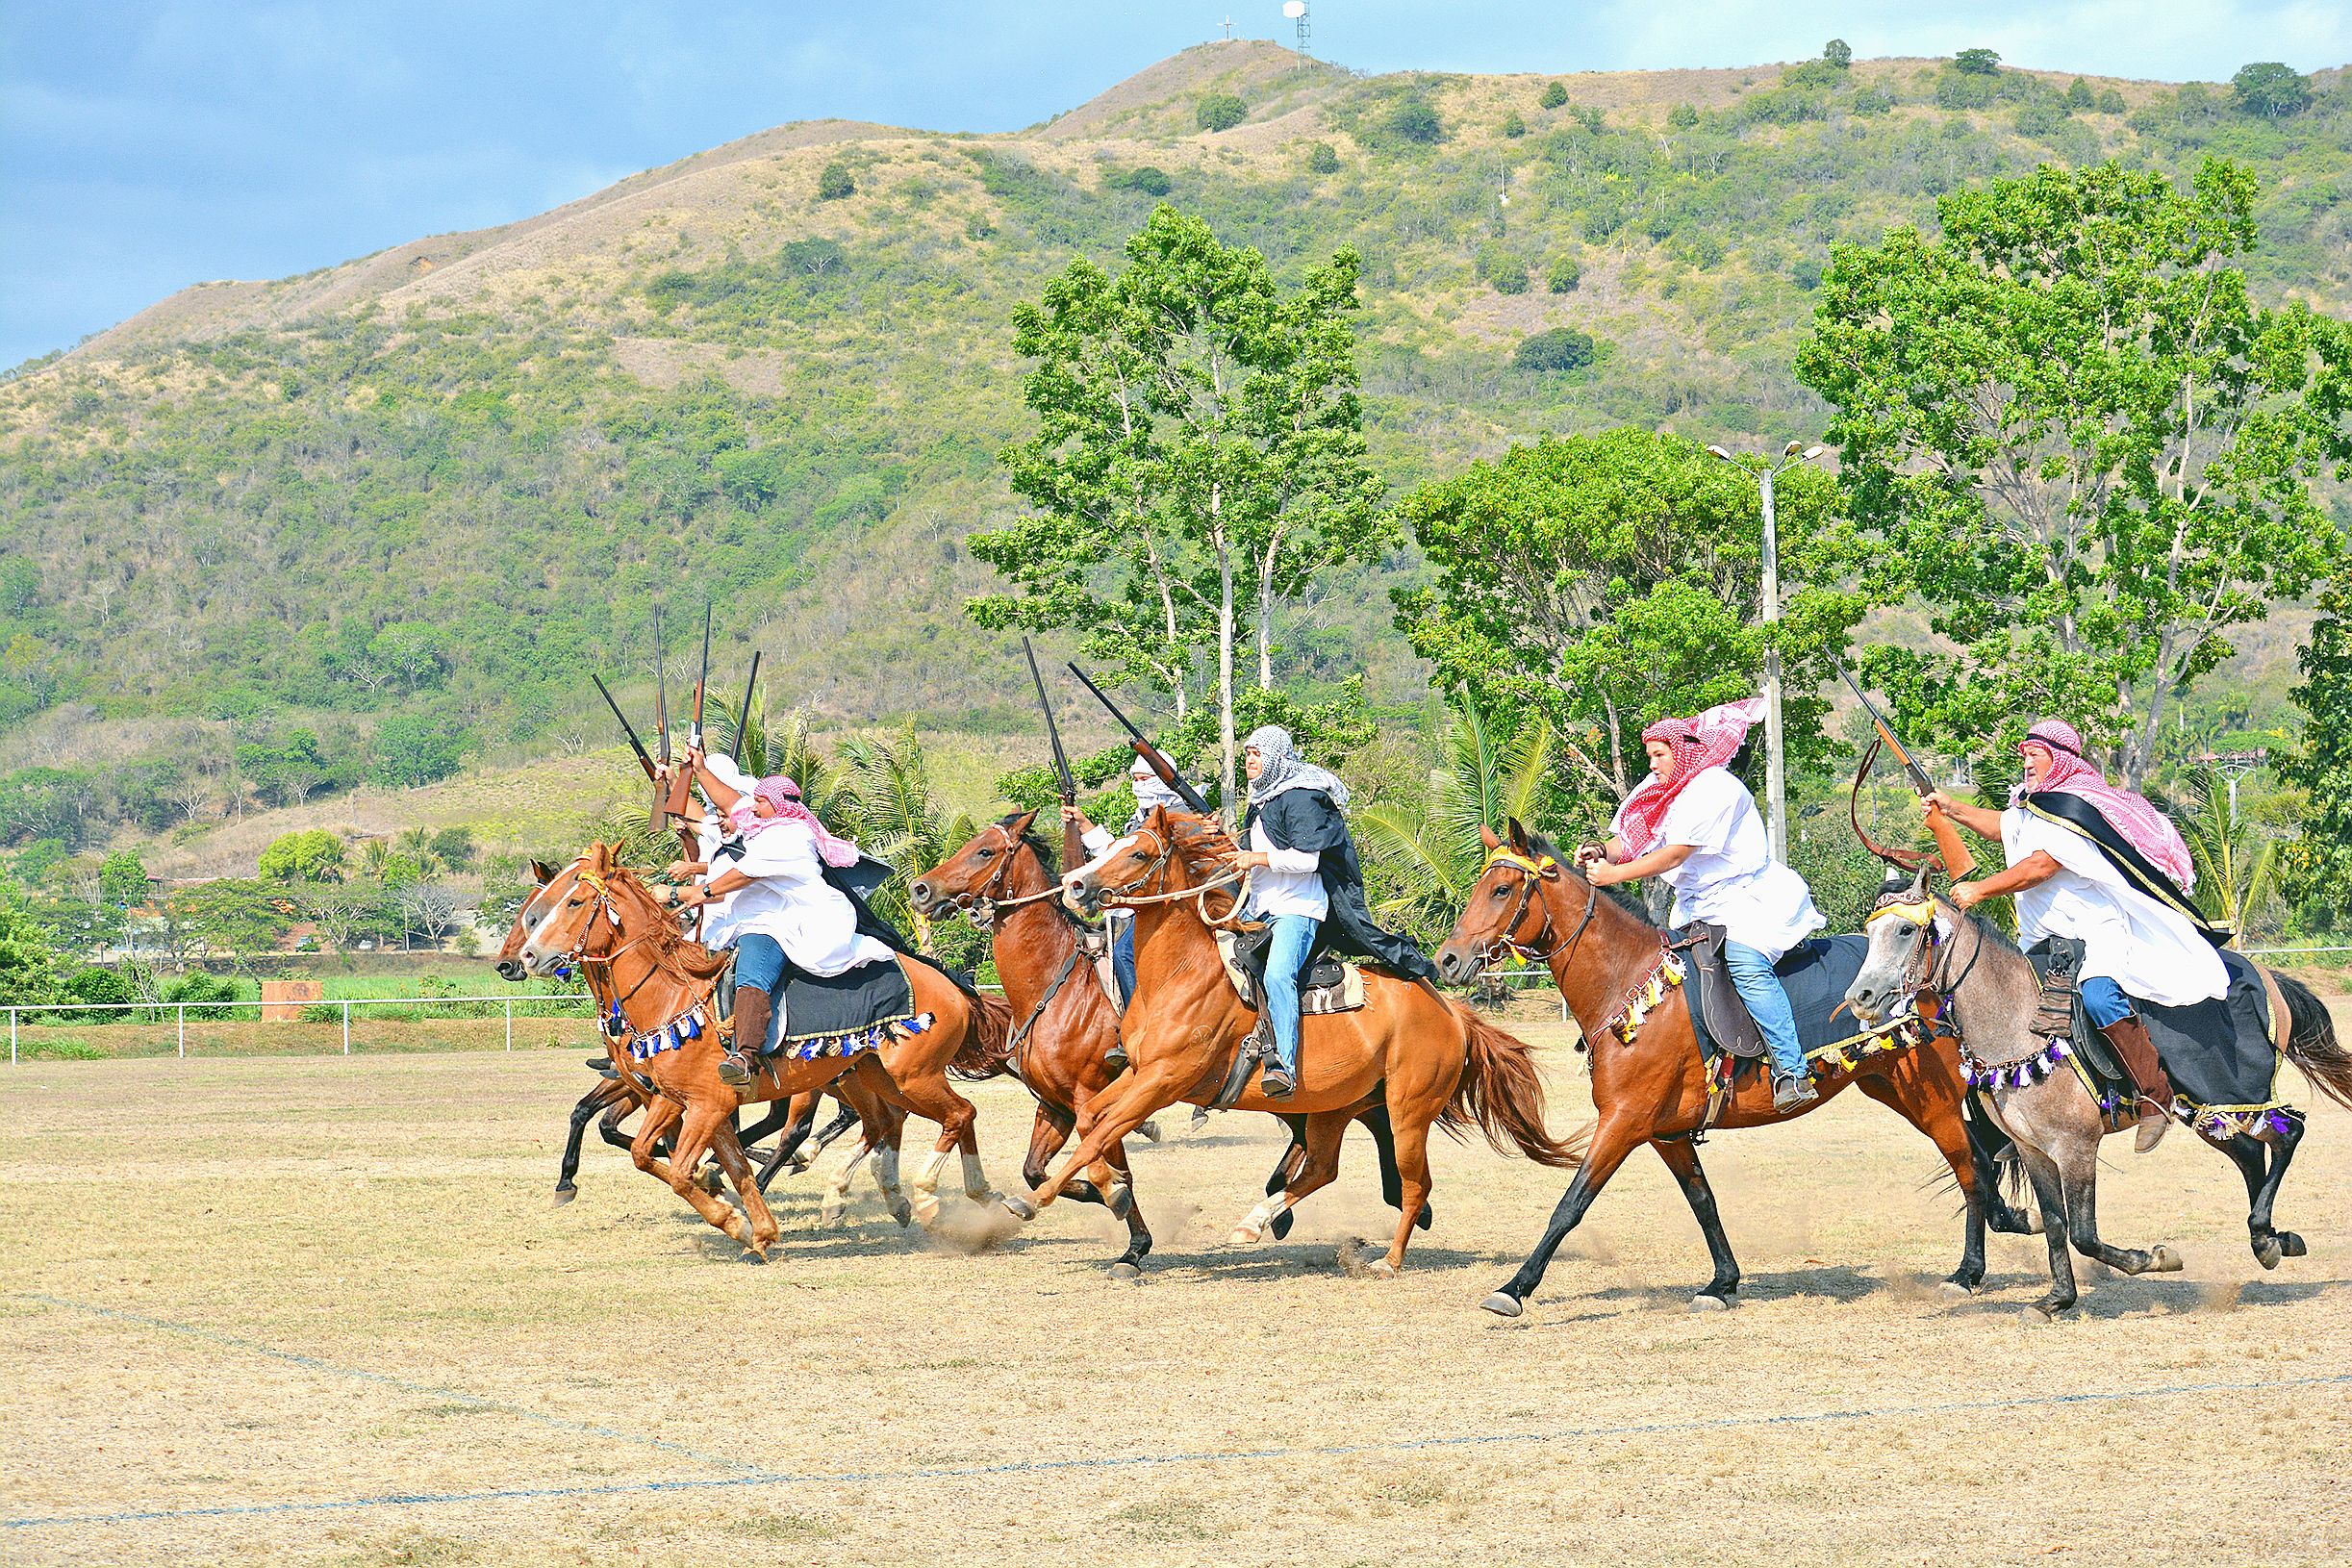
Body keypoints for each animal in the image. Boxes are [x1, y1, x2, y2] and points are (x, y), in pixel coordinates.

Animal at [517, 841, 1011, 1259]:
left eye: (574, 902)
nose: (525, 958)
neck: (670, 997)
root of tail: (950, 983)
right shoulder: (684, 1101)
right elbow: (685, 1159)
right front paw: (757, 1228)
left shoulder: (704, 1104)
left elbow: (680, 1170)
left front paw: (731, 1218)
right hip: (877, 1075)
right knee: (903, 1120)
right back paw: (940, 1196)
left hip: (912, 1076)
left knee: (956, 1114)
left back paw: (931, 1197)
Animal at [1025, 808, 1589, 1278]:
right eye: (1115, 845)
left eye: (1139, 854)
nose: (1076, 884)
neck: (1182, 973)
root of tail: (1452, 1012)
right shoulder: (1135, 1075)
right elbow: (1091, 1121)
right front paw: (1112, 1190)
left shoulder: (1163, 1081)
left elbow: (1099, 1133)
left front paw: (1038, 1199)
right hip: (1334, 1108)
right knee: (1321, 1168)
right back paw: (1255, 1221)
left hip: (1408, 1111)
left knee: (1413, 1185)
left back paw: (1387, 1260)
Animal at [1429, 822, 2022, 1326]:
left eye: (1501, 890)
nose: (1447, 960)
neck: (1633, 985)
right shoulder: (1665, 1131)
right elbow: (1703, 1202)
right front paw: (1722, 1282)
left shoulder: (1623, 1122)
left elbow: (1570, 1205)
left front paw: (1514, 1288)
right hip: (1895, 1090)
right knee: (1979, 1164)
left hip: (1931, 1102)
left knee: (1972, 1167)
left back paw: (1967, 1273)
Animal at [1843, 878, 2342, 1316]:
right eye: (1871, 932)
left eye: (1906, 930)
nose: (1859, 996)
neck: (2018, 1022)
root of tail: (2264, 976)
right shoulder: (2033, 1150)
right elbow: (2056, 1224)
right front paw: (2056, 1300)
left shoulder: (2076, 1147)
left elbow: (2083, 1232)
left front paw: (2154, 1258)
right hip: (2208, 1108)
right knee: (2252, 1153)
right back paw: (2271, 1240)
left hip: (2236, 1092)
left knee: (2288, 1134)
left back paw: (2266, 1234)